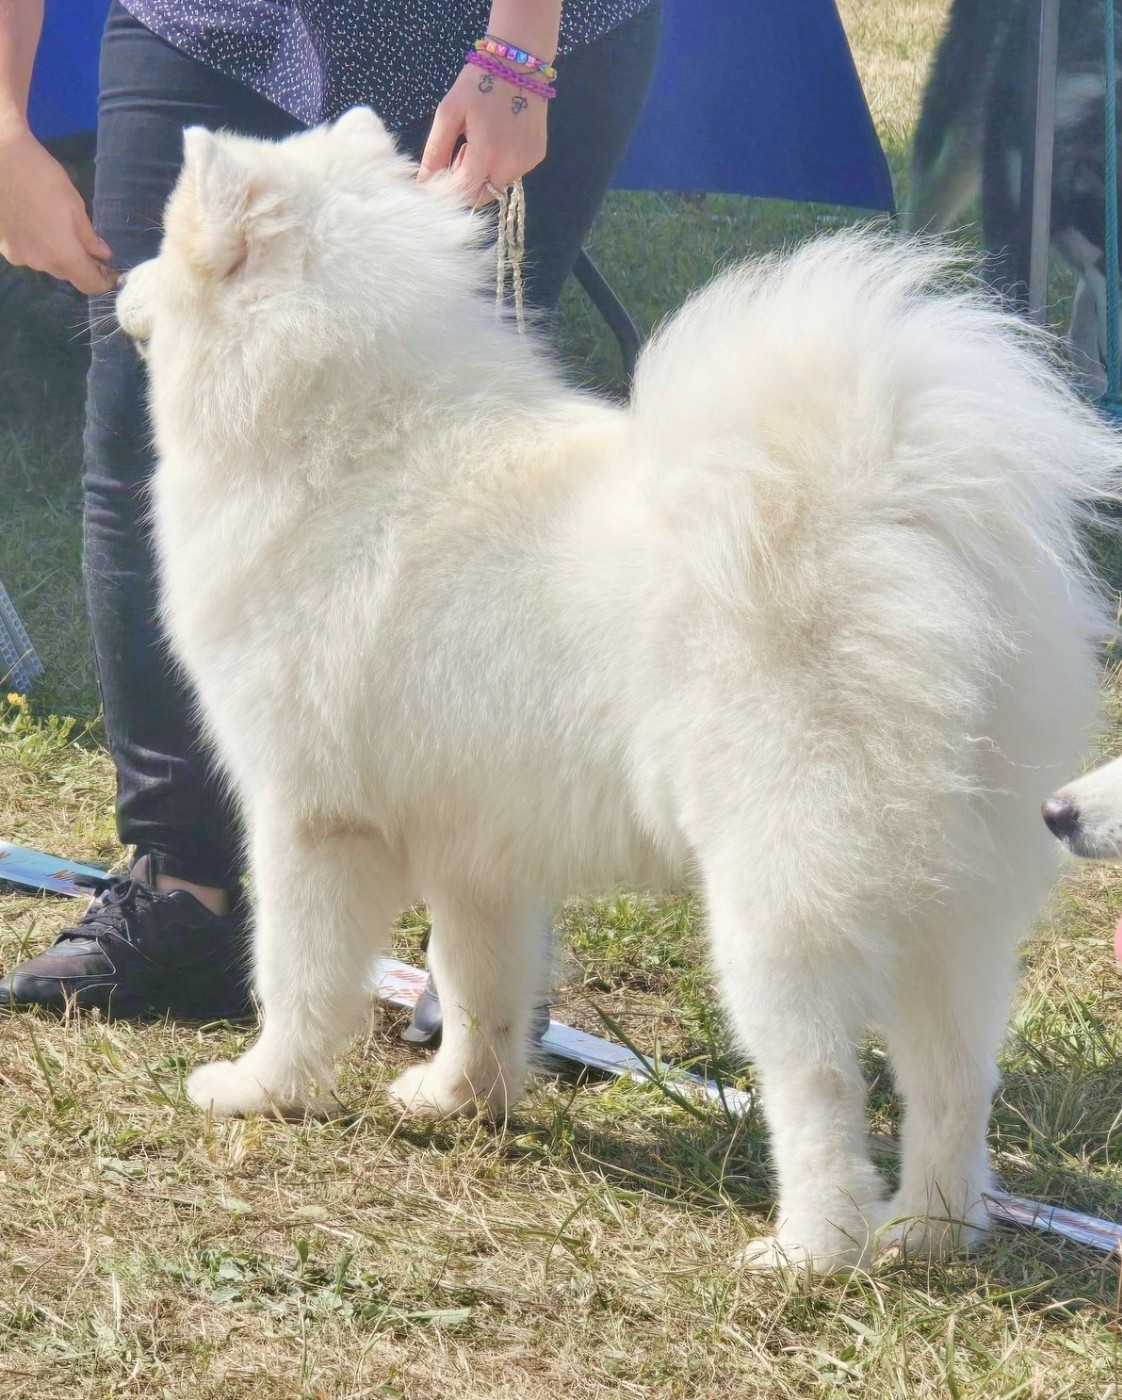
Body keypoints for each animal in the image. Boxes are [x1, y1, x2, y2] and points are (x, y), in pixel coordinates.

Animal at [116, 110, 1121, 1273]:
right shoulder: (478, 843)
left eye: (165, 241)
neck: (345, 435)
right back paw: (927, 1233)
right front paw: (464, 1097)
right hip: (955, 899)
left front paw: (260, 1088)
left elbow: (297, 972)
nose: (118, 280)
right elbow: (481, 983)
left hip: (780, 897)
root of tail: (902, 515)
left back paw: (809, 1250)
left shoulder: (309, 816)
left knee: (821, 1083)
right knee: (954, 1077)